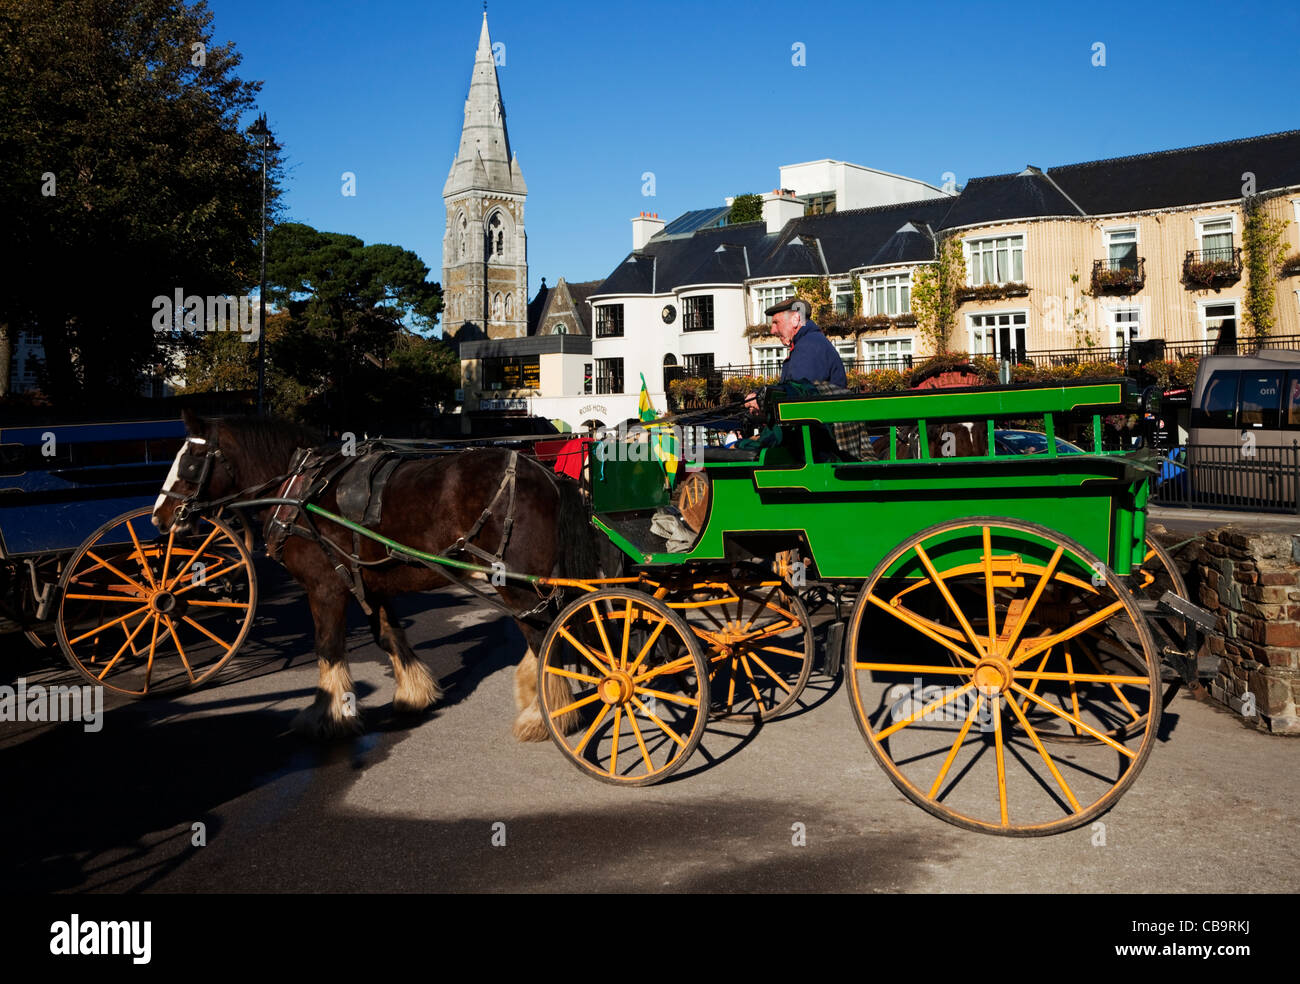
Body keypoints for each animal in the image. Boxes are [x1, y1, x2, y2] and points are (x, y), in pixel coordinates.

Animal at [150, 410, 598, 738]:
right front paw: (413, 695)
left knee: (543, 638)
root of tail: (548, 476)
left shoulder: (325, 589)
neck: (299, 491)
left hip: (516, 583)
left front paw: (328, 716)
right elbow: (389, 636)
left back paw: (544, 717)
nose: (160, 517)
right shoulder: (368, 581)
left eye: (189, 461)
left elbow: (328, 647)